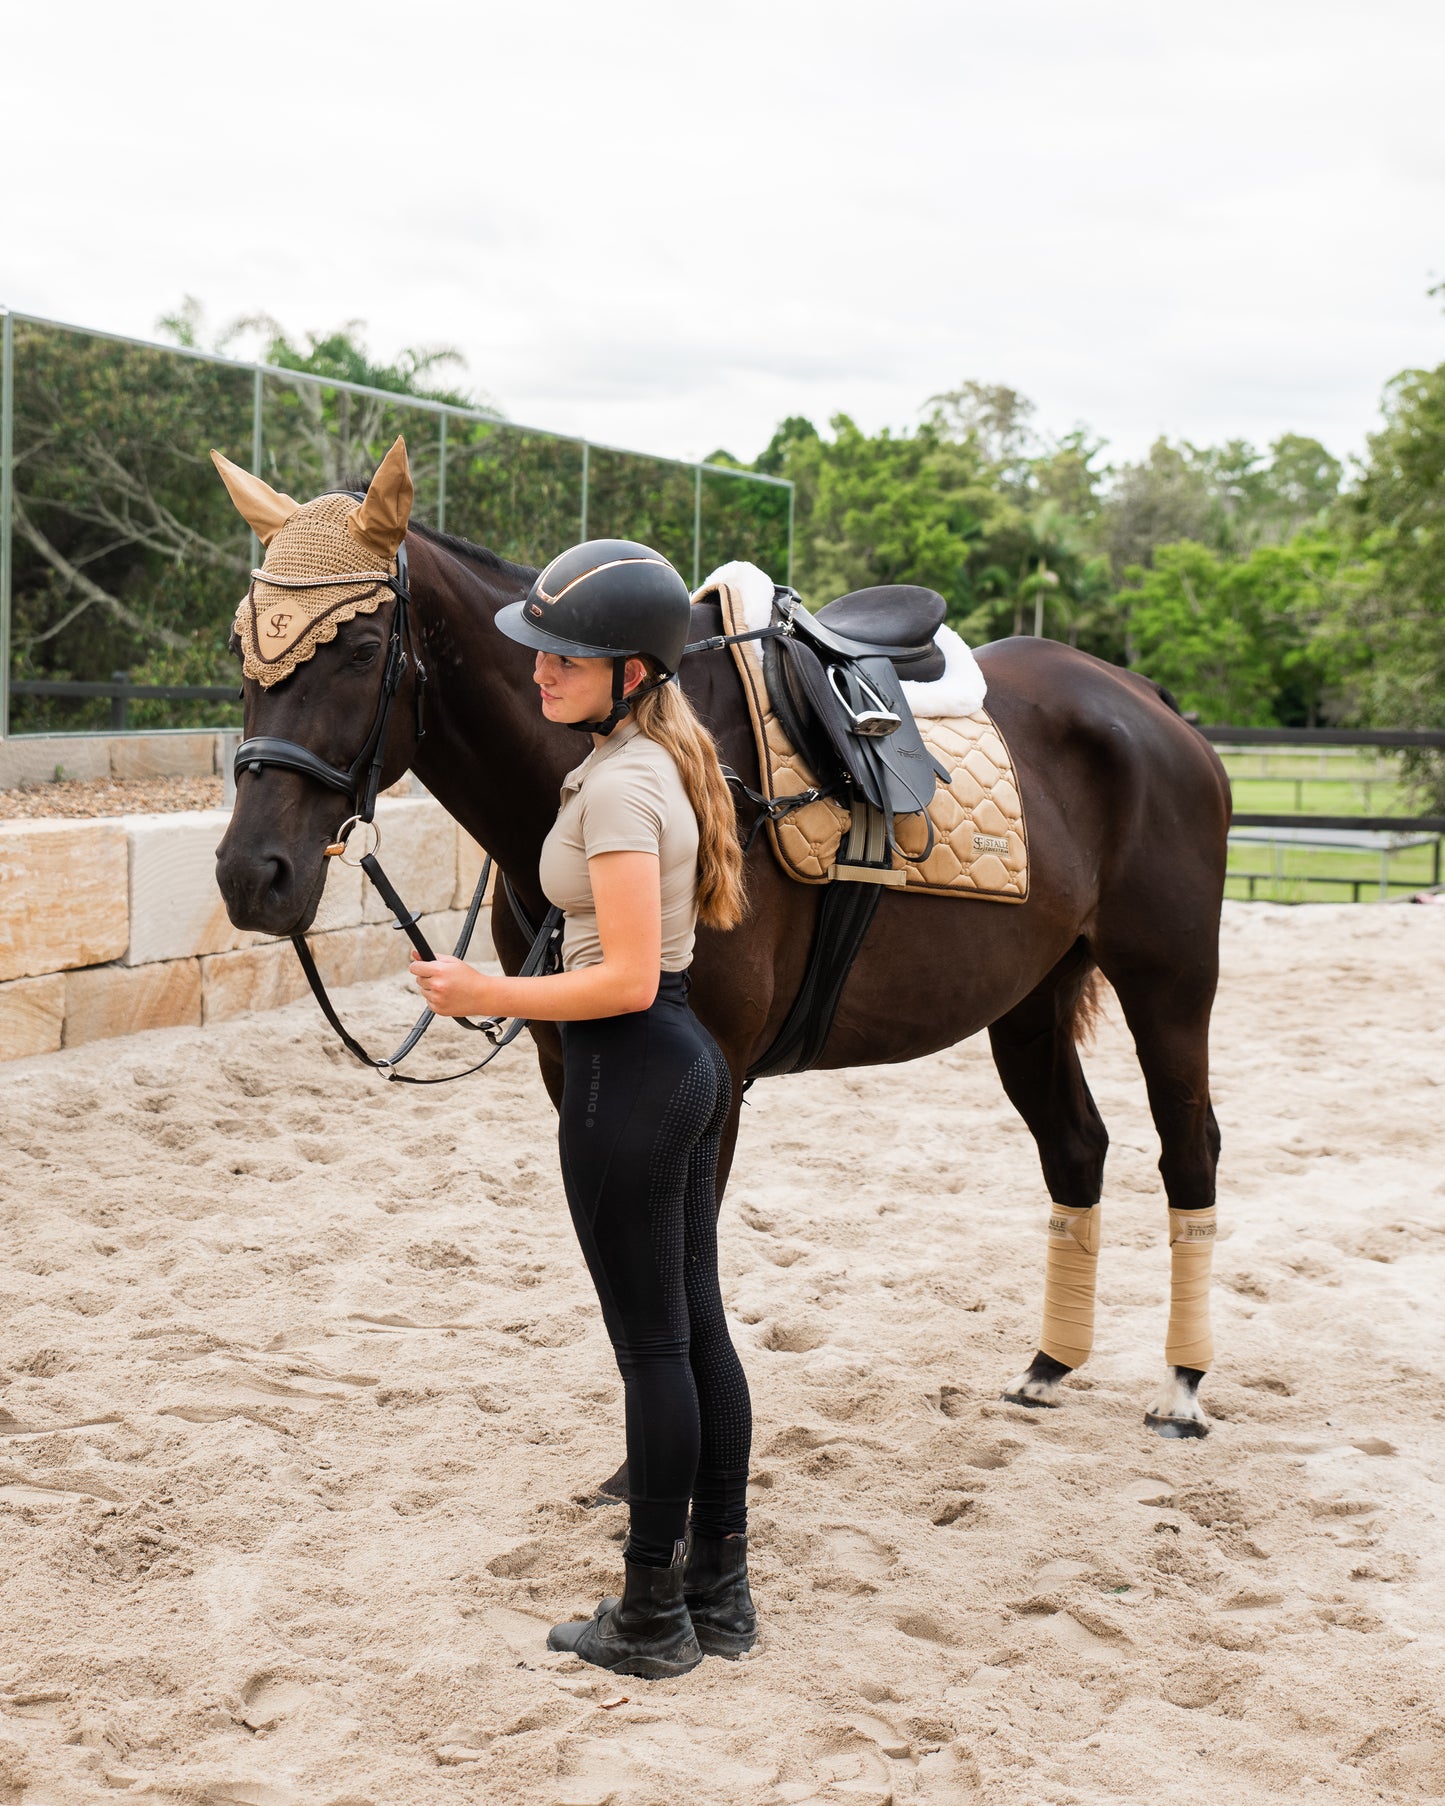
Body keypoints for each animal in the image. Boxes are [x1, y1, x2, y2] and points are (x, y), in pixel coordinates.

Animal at [214, 476, 1228, 1437]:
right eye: (242, 649)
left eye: (359, 649)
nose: (250, 874)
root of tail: (1148, 703)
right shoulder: (567, 1062)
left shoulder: (717, 1079)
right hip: (1028, 1001)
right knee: (1075, 1146)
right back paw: (1047, 1368)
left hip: (1168, 986)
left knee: (1189, 1149)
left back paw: (1181, 1389)